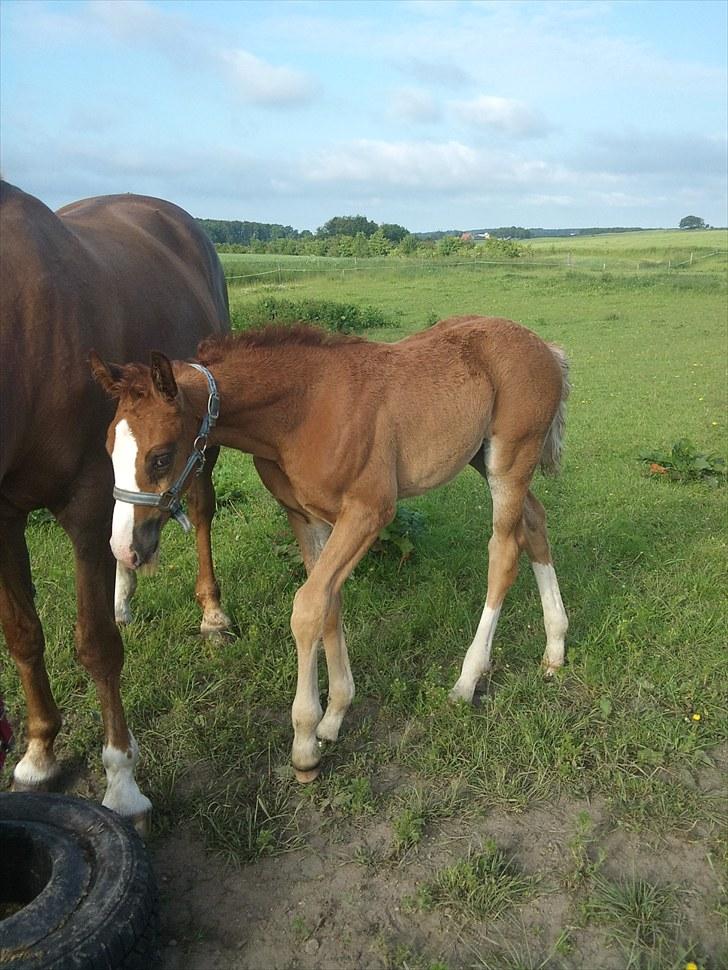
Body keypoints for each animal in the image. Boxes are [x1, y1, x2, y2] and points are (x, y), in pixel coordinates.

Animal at [0, 183, 230, 832]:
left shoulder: (84, 503)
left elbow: (97, 645)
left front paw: (122, 786)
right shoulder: (5, 515)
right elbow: (23, 634)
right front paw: (39, 754)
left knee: (198, 511)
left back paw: (212, 614)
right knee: (126, 544)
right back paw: (126, 590)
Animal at [91, 314, 568, 784]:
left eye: (160, 456)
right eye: (108, 448)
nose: (123, 548)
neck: (302, 412)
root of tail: (546, 347)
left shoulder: (369, 511)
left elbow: (307, 607)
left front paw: (305, 743)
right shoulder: (307, 517)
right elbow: (329, 603)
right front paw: (335, 715)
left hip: (510, 461)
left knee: (503, 554)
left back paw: (468, 681)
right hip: (481, 459)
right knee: (535, 523)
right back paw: (555, 648)